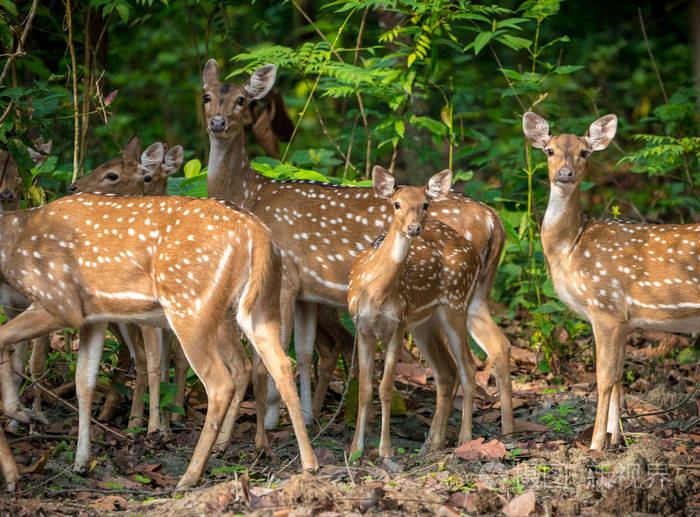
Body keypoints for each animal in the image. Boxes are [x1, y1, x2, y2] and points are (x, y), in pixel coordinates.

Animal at [0, 192, 318, 489]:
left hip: (189, 303)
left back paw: (189, 475)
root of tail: (258, 234)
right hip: (261, 306)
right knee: (280, 365)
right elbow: (83, 382)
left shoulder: (59, 301)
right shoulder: (93, 316)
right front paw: (80, 462)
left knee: (220, 381)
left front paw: (23, 417)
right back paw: (308, 464)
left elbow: (4, 339)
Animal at [348, 168, 481, 457]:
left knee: (467, 365)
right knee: (446, 371)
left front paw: (385, 450)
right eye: (396, 204)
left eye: (425, 204)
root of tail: (473, 251)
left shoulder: (398, 325)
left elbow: (386, 387)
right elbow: (364, 389)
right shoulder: (362, 327)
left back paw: (464, 439)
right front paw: (355, 450)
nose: (413, 228)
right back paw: (433, 443)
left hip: (456, 303)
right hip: (424, 323)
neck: (376, 292)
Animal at [523, 111, 700, 452]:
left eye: (584, 152)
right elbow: (619, 375)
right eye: (549, 150)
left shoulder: (603, 305)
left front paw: (595, 445)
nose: (564, 173)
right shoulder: (624, 319)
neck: (570, 247)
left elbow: (603, 377)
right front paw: (616, 438)